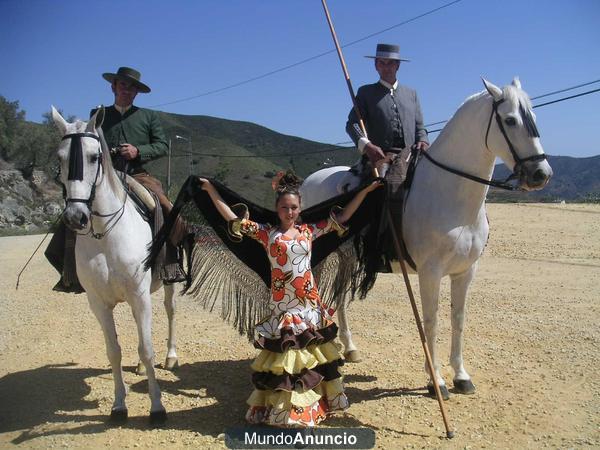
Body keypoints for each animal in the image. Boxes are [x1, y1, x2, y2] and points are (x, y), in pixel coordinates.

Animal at [52, 105, 178, 422]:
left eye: (94, 157)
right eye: (60, 158)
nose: (75, 217)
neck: (105, 234)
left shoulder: (140, 296)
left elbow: (147, 349)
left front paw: (157, 407)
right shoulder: (98, 303)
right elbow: (114, 352)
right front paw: (119, 405)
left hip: (169, 283)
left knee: (170, 311)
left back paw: (171, 356)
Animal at [302, 78, 552, 398]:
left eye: (534, 117)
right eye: (510, 120)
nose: (540, 174)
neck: (449, 194)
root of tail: (310, 181)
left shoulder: (465, 272)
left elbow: (458, 319)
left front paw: (461, 375)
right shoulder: (430, 273)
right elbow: (431, 322)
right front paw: (437, 382)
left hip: (349, 258)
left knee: (341, 297)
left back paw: (350, 348)